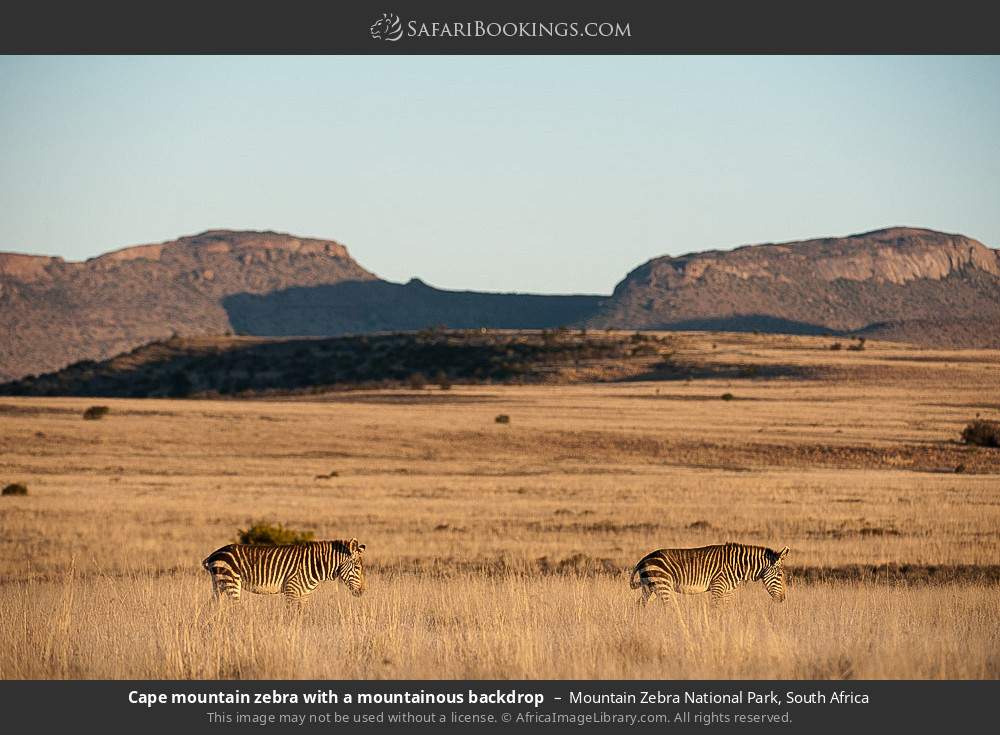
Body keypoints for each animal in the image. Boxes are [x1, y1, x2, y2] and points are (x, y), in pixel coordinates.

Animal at [202, 538, 366, 605]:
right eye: (357, 568)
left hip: (219, 585)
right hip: (231, 583)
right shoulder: (291, 590)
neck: (316, 565)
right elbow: (291, 615)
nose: (363, 592)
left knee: (213, 605)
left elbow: (301, 616)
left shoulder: (304, 594)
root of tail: (214, 554)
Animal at [630, 543, 788, 607]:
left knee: (639, 605)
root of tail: (644, 558)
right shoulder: (718, 587)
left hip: (650, 587)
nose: (783, 599)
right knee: (666, 608)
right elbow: (715, 609)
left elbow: (725, 610)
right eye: (780, 575)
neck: (737, 566)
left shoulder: (728, 591)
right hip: (662, 586)